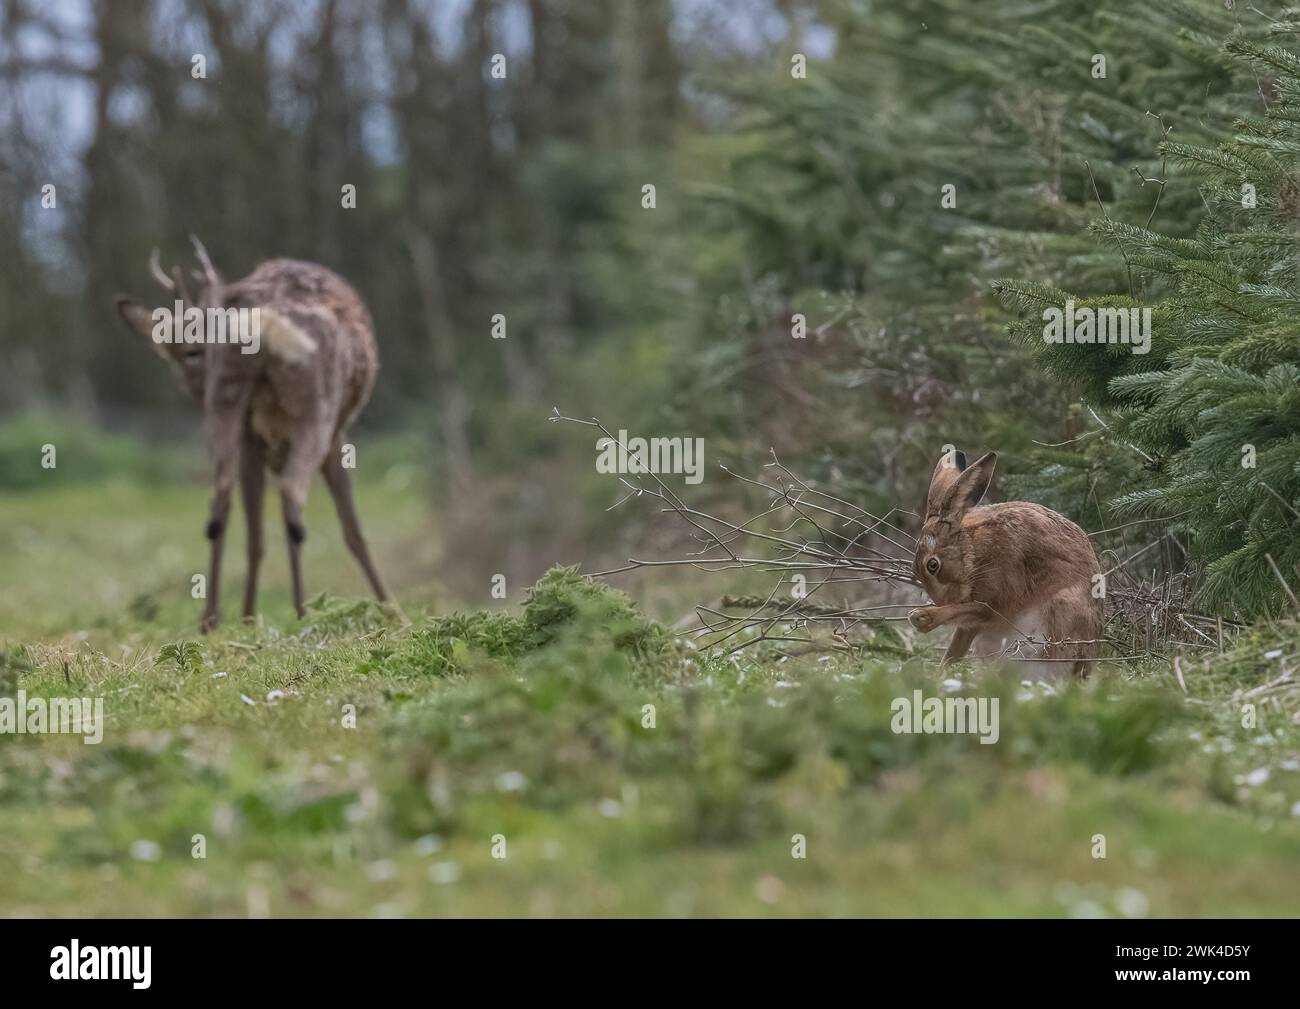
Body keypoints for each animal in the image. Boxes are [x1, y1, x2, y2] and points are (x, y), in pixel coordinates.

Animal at [115, 237, 390, 629]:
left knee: (222, 498)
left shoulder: (251, 439)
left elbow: (255, 533)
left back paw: (212, 619)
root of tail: (264, 321)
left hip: (227, 407)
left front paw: (246, 617)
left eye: (195, 349)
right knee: (292, 496)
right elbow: (354, 531)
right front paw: (393, 611)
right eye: (185, 353)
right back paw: (303, 612)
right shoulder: (337, 434)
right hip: (318, 410)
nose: (194, 381)